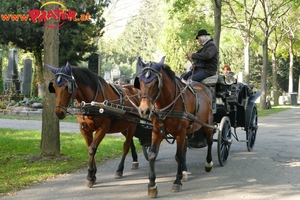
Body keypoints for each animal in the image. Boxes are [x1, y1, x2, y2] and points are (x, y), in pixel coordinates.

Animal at [134, 56, 216, 197]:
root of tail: (204, 88)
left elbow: (178, 156)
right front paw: (152, 185)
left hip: (208, 123)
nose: (144, 110)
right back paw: (184, 172)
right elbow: (152, 155)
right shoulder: (157, 131)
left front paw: (177, 182)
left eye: (156, 82)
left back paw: (208, 163)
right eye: (139, 81)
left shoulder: (179, 133)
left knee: (210, 141)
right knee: (185, 149)